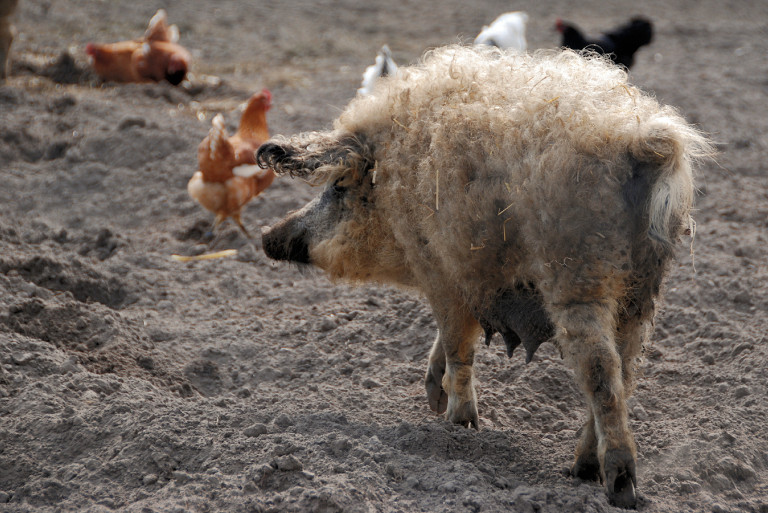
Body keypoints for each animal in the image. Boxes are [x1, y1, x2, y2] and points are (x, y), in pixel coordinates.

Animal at [256, 45, 708, 508]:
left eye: (338, 188)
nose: (267, 236)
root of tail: (645, 145)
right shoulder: (463, 276)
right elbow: (452, 336)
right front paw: (434, 401)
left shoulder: (438, 266)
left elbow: (458, 342)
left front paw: (459, 425)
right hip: (643, 293)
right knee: (625, 371)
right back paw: (581, 471)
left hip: (578, 275)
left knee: (598, 369)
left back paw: (615, 486)